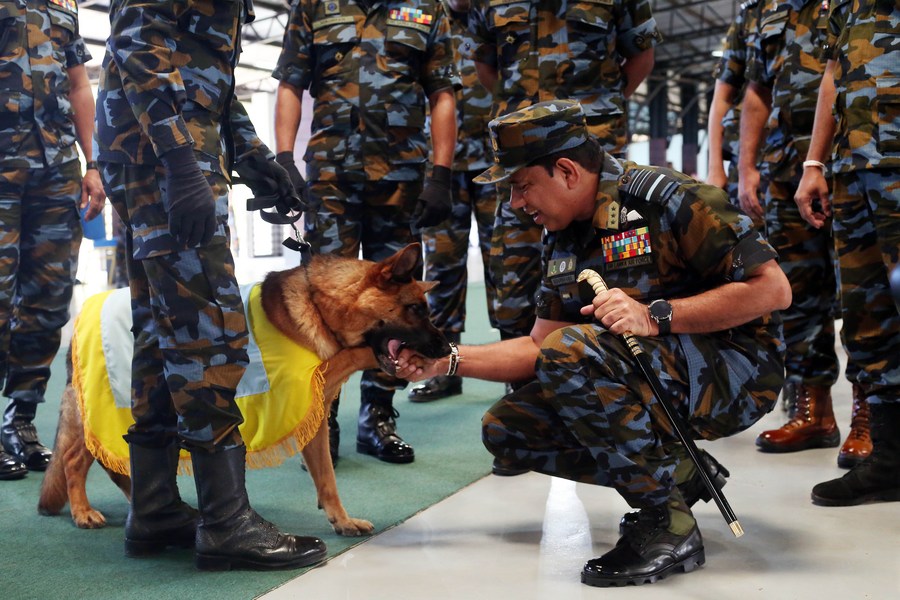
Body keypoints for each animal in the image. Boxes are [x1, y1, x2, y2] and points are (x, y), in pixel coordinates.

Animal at [37, 244, 450, 536]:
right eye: (416, 309)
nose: (447, 349)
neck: (320, 309)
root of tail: (80, 320)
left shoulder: (311, 419)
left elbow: (327, 479)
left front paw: (341, 520)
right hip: (105, 410)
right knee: (73, 460)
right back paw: (83, 511)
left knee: (119, 462)